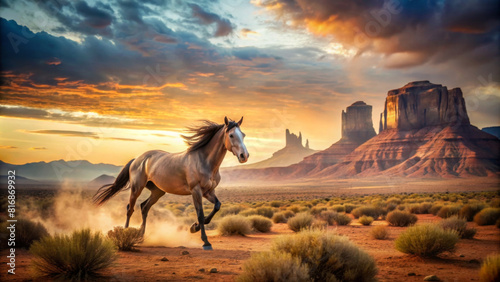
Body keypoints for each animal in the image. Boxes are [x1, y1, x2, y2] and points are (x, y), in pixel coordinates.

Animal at [92, 116, 248, 249]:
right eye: (231, 135)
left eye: (243, 135)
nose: (244, 156)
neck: (204, 161)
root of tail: (137, 159)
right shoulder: (196, 191)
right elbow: (200, 214)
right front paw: (205, 242)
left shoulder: (208, 191)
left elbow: (217, 206)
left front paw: (194, 227)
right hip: (137, 188)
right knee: (130, 208)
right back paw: (125, 234)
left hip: (158, 191)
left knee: (144, 207)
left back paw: (141, 236)